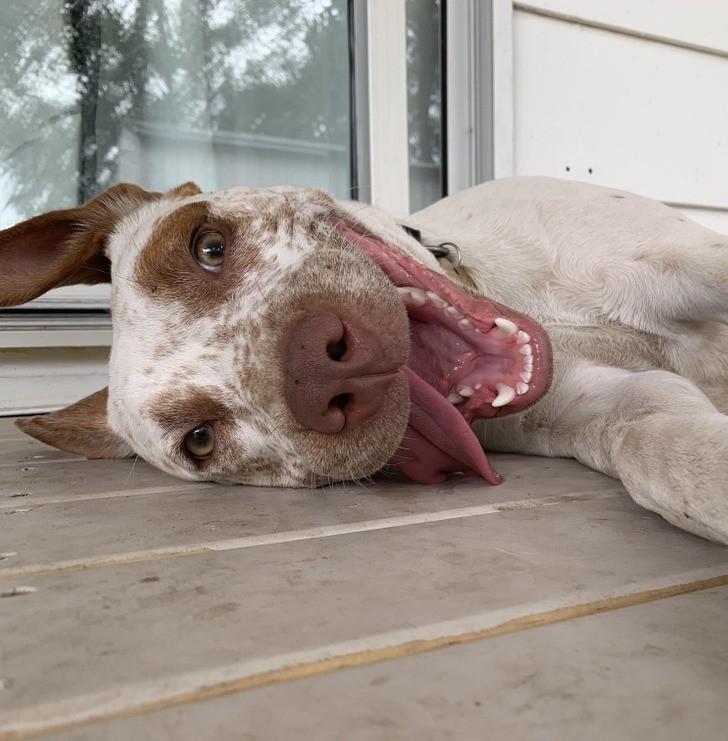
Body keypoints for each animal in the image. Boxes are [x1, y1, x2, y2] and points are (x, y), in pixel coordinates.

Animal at [1, 174, 728, 544]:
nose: (323, 370)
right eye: (201, 439)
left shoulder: (697, 260)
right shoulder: (613, 408)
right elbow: (670, 460)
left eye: (206, 247)